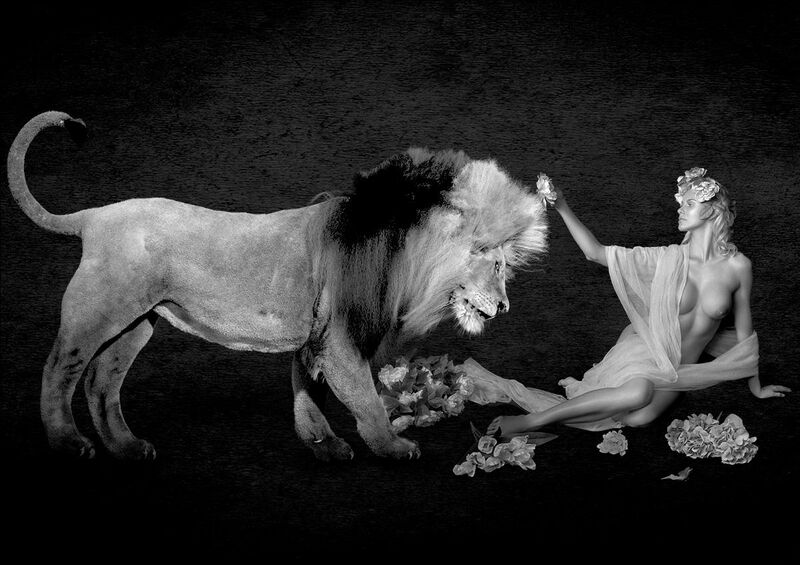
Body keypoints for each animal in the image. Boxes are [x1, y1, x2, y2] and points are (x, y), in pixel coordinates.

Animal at [7, 111, 548, 462]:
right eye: (495, 265)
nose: (505, 307)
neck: (402, 253)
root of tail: (94, 215)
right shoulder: (340, 340)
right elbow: (366, 399)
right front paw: (394, 447)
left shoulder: (317, 338)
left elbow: (309, 393)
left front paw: (324, 446)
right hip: (98, 311)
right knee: (60, 369)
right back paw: (68, 443)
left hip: (137, 324)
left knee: (102, 382)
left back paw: (128, 448)